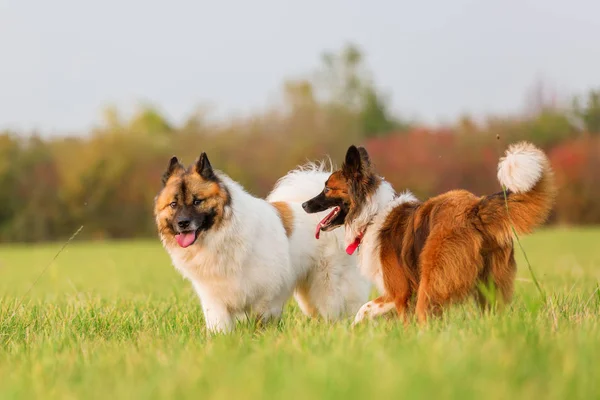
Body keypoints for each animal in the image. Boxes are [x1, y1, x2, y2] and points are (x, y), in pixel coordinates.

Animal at [154, 152, 370, 332]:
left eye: (197, 201)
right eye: (173, 204)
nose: (183, 223)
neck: (220, 235)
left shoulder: (266, 294)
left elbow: (261, 319)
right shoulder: (214, 298)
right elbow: (220, 325)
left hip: (329, 287)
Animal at [302, 142, 556, 324]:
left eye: (327, 188)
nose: (304, 205)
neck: (371, 214)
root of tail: (474, 208)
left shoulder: (401, 292)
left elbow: (368, 311)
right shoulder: (398, 294)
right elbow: (365, 311)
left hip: (432, 283)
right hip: (489, 288)